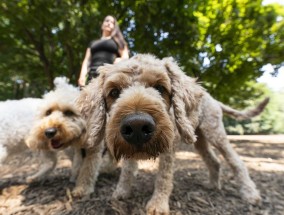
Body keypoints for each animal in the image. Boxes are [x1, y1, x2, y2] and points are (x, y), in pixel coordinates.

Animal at [75, 54, 268, 215]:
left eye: (160, 88)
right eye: (114, 92)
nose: (137, 126)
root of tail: (211, 98)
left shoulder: (169, 149)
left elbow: (164, 178)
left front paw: (157, 205)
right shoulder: (128, 149)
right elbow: (127, 171)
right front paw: (121, 192)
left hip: (215, 132)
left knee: (236, 162)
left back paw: (250, 194)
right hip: (198, 138)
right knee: (214, 161)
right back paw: (213, 185)